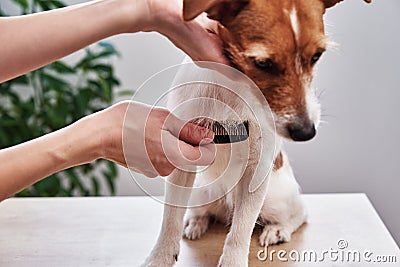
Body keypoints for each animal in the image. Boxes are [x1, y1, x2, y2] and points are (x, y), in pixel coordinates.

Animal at [142, 1, 370, 266]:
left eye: (317, 56)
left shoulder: (257, 171)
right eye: (263, 64)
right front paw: (160, 256)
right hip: (201, 192)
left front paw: (233, 260)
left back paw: (278, 229)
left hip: (275, 198)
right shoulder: (182, 157)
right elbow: (171, 218)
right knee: (202, 212)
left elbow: (241, 229)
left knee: (300, 213)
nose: (306, 132)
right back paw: (196, 222)